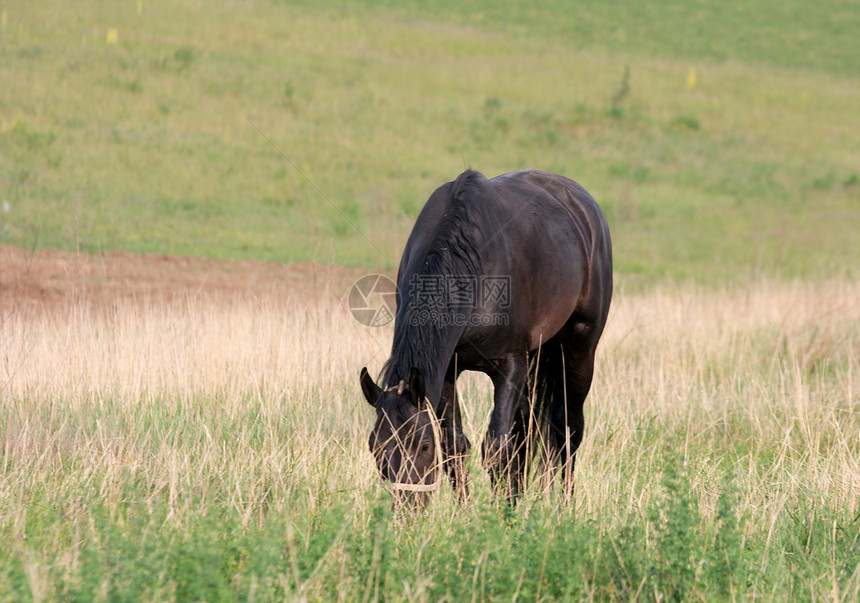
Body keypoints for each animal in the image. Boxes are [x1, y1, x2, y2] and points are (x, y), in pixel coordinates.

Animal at [360, 169, 616, 504]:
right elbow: (457, 446)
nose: (406, 506)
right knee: (527, 429)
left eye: (423, 445)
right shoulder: (446, 372)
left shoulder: (510, 365)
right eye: (374, 447)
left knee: (567, 429)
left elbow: (497, 447)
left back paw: (563, 505)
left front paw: (502, 512)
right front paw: (469, 510)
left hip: (579, 350)